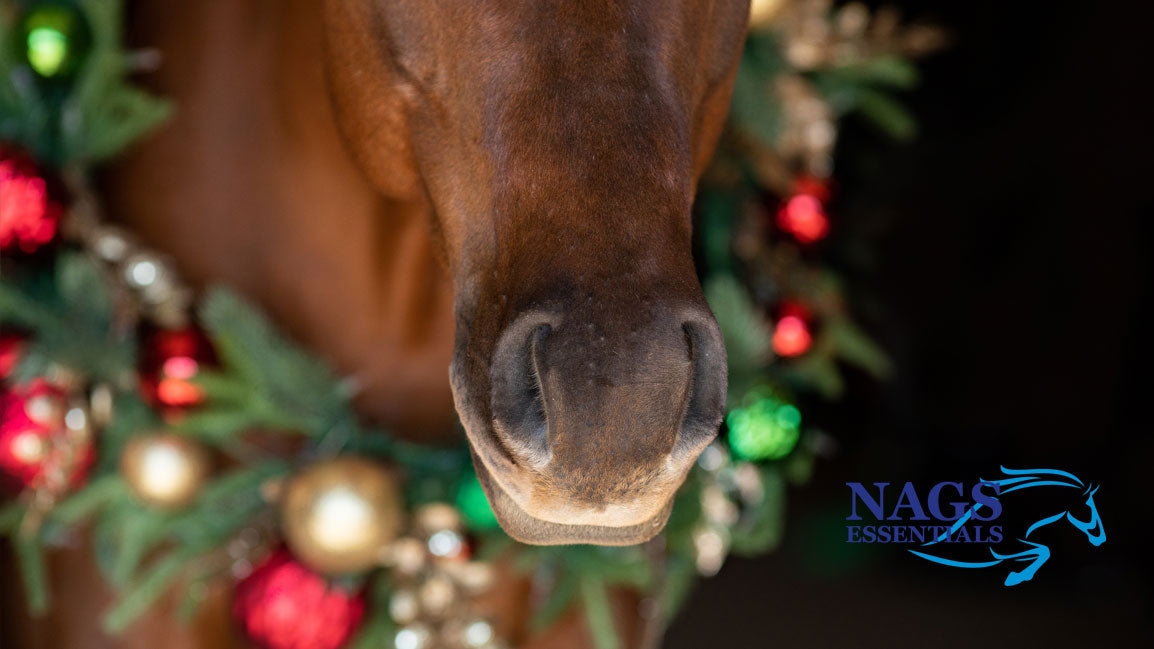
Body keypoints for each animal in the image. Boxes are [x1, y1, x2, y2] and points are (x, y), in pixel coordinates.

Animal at [909, 467, 1106, 586]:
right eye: (1089, 507)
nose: (1102, 539)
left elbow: (1042, 550)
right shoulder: (999, 548)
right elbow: (1043, 550)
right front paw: (1017, 576)